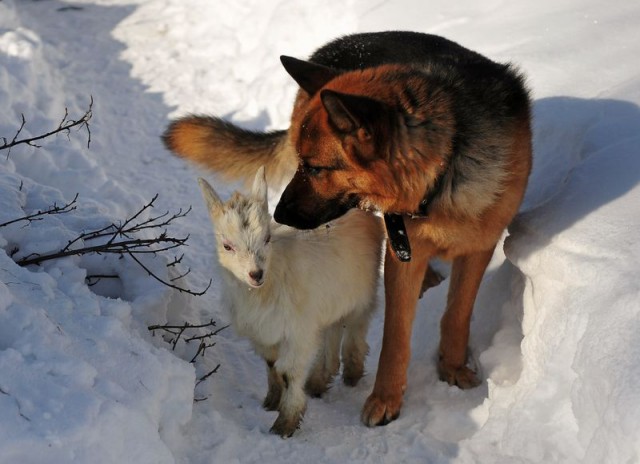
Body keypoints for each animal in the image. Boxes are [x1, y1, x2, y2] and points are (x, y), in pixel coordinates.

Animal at [162, 29, 532, 428]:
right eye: (302, 164)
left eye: (317, 168)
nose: (280, 214)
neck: (444, 171)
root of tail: (333, 47)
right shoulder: (402, 252)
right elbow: (394, 336)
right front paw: (385, 399)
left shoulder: (479, 246)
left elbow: (457, 315)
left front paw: (452, 368)